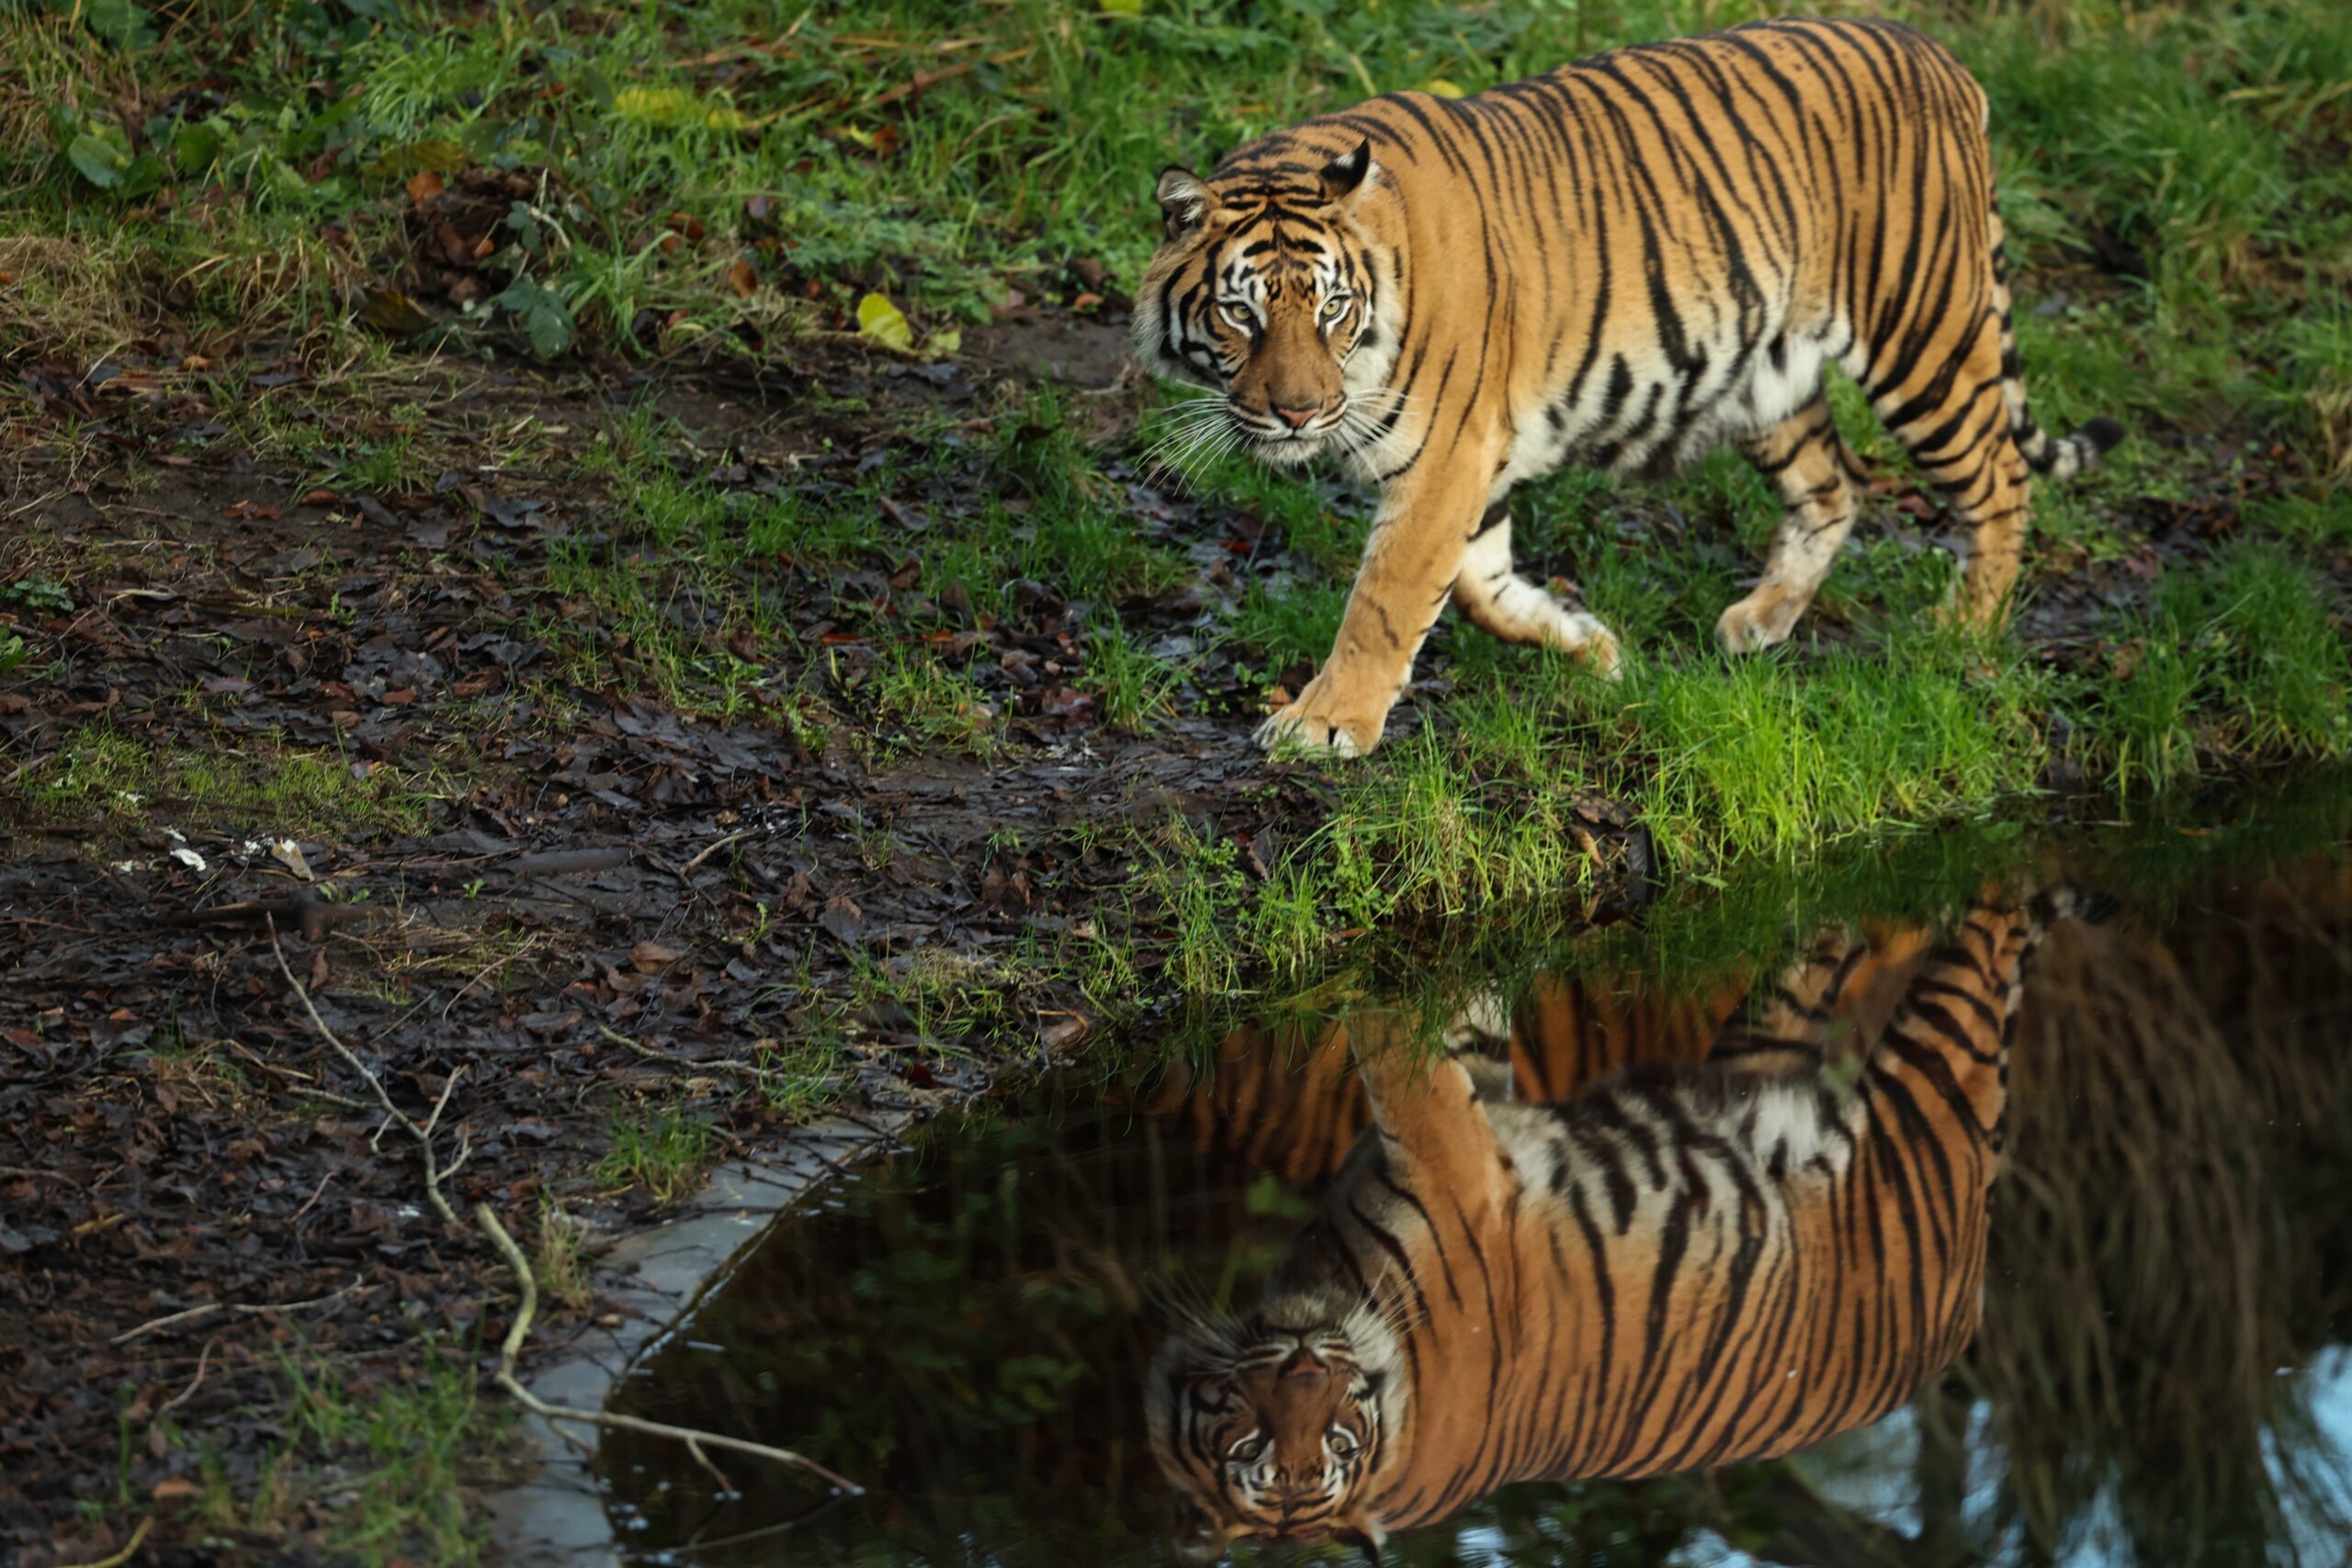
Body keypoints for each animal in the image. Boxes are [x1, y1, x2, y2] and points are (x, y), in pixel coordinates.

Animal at [1133, 17, 2125, 757]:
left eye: (1331, 308)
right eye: (1241, 314)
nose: (1297, 411)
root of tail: (1941, 55)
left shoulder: (1447, 450)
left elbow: (1389, 596)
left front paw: (1326, 724)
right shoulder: (1473, 458)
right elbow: (1478, 585)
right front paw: (1590, 645)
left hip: (1922, 333)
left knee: (1999, 479)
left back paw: (1962, 630)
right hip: (1765, 372)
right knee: (1834, 486)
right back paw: (1761, 621)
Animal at [1146, 888, 2095, 1561]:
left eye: (1335, 1436)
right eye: (1262, 1447)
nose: (1310, 1366)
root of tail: (1961, 1315)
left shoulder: (1463, 1143)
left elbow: (1428, 1030)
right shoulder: (1459, 1155)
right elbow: (1413, 1047)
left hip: (1797, 1058)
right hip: (1897, 1087)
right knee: (1960, 943)